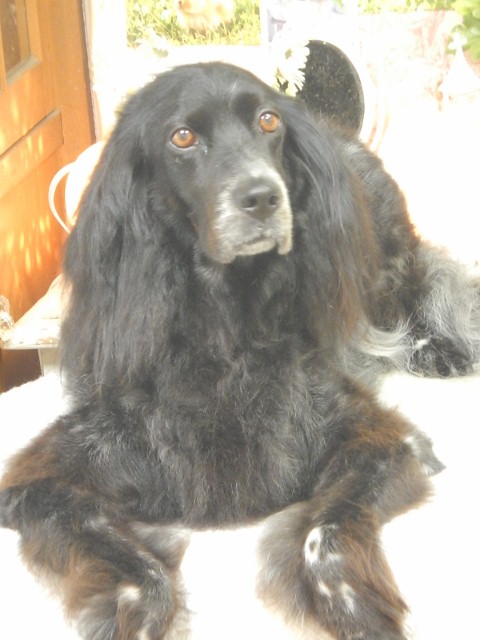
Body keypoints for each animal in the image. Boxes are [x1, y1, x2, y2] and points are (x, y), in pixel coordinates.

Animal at [1, 62, 479, 639]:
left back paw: (439, 346)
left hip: (385, 271)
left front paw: (358, 612)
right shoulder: (42, 479)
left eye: (268, 120)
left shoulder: (391, 443)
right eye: (182, 136)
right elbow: (137, 570)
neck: (224, 337)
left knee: (426, 279)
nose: (263, 197)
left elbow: (326, 533)